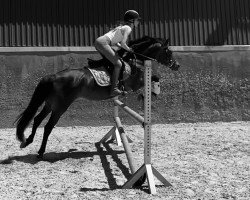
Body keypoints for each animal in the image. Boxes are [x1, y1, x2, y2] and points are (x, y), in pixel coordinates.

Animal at [15, 35, 180, 159]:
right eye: (168, 51)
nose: (177, 66)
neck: (134, 60)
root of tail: (53, 76)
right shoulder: (134, 83)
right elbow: (155, 77)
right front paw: (151, 94)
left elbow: (154, 78)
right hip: (61, 106)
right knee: (48, 126)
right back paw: (41, 152)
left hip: (50, 104)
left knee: (37, 119)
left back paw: (27, 142)